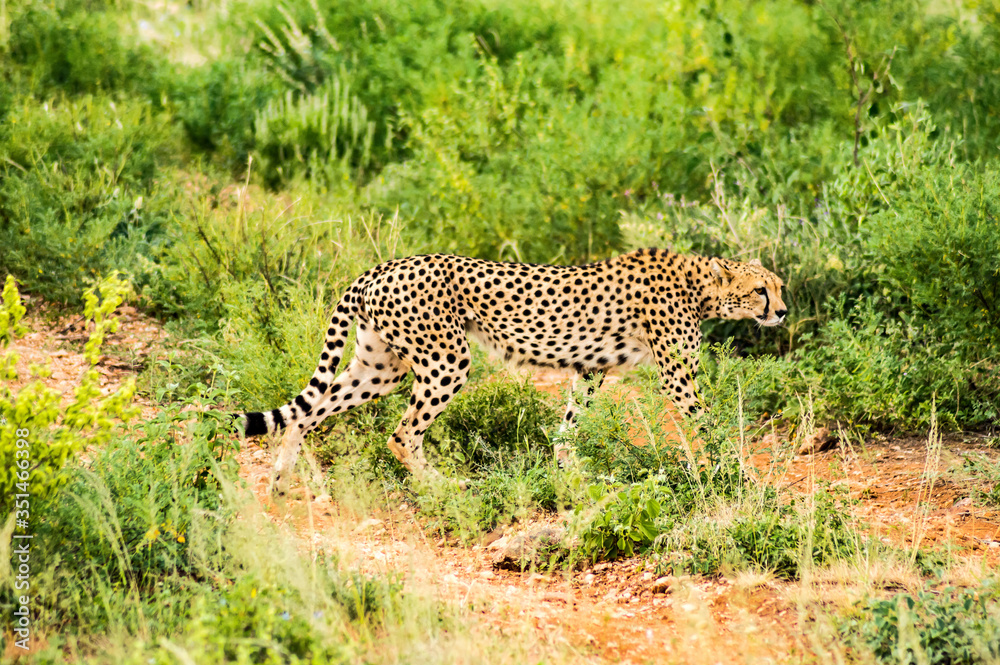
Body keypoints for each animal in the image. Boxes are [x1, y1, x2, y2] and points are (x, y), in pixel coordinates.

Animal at [233, 249, 787, 497]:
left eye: (779, 287)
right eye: (761, 290)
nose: (781, 313)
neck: (700, 287)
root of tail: (383, 266)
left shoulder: (590, 369)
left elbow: (569, 425)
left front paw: (568, 473)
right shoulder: (676, 374)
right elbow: (710, 424)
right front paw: (743, 477)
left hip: (380, 366)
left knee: (308, 414)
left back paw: (282, 479)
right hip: (446, 361)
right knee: (401, 433)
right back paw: (445, 487)